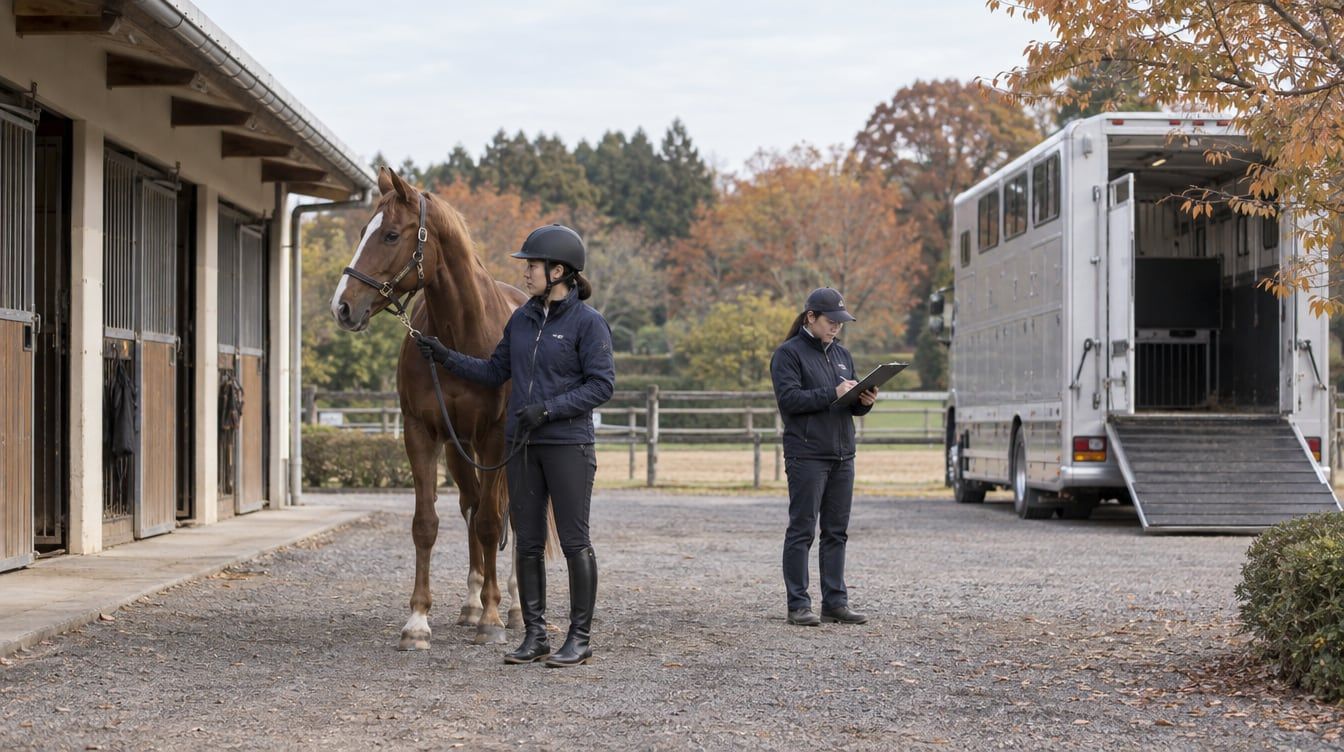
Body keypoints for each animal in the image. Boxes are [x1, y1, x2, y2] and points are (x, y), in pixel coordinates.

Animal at [330, 167, 529, 648]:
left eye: (390, 234)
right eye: (362, 232)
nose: (342, 306)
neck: (461, 336)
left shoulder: (494, 437)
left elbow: (493, 522)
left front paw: (493, 620)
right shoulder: (422, 432)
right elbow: (427, 523)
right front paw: (418, 620)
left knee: (508, 514)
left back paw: (513, 606)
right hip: (459, 451)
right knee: (471, 506)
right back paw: (472, 603)